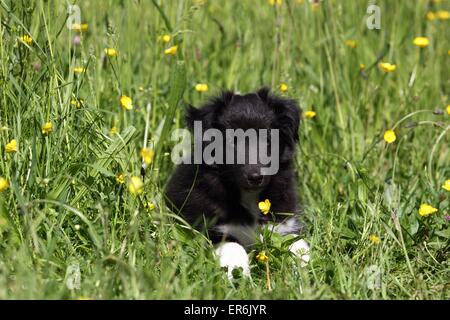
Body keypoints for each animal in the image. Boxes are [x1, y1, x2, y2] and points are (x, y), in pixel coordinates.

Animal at [165, 87, 310, 278]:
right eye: (231, 141)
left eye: (268, 139)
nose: (255, 177)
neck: (249, 196)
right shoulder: (212, 229)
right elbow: (233, 246)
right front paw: (238, 273)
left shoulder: (284, 222)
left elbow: (297, 244)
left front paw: (305, 271)